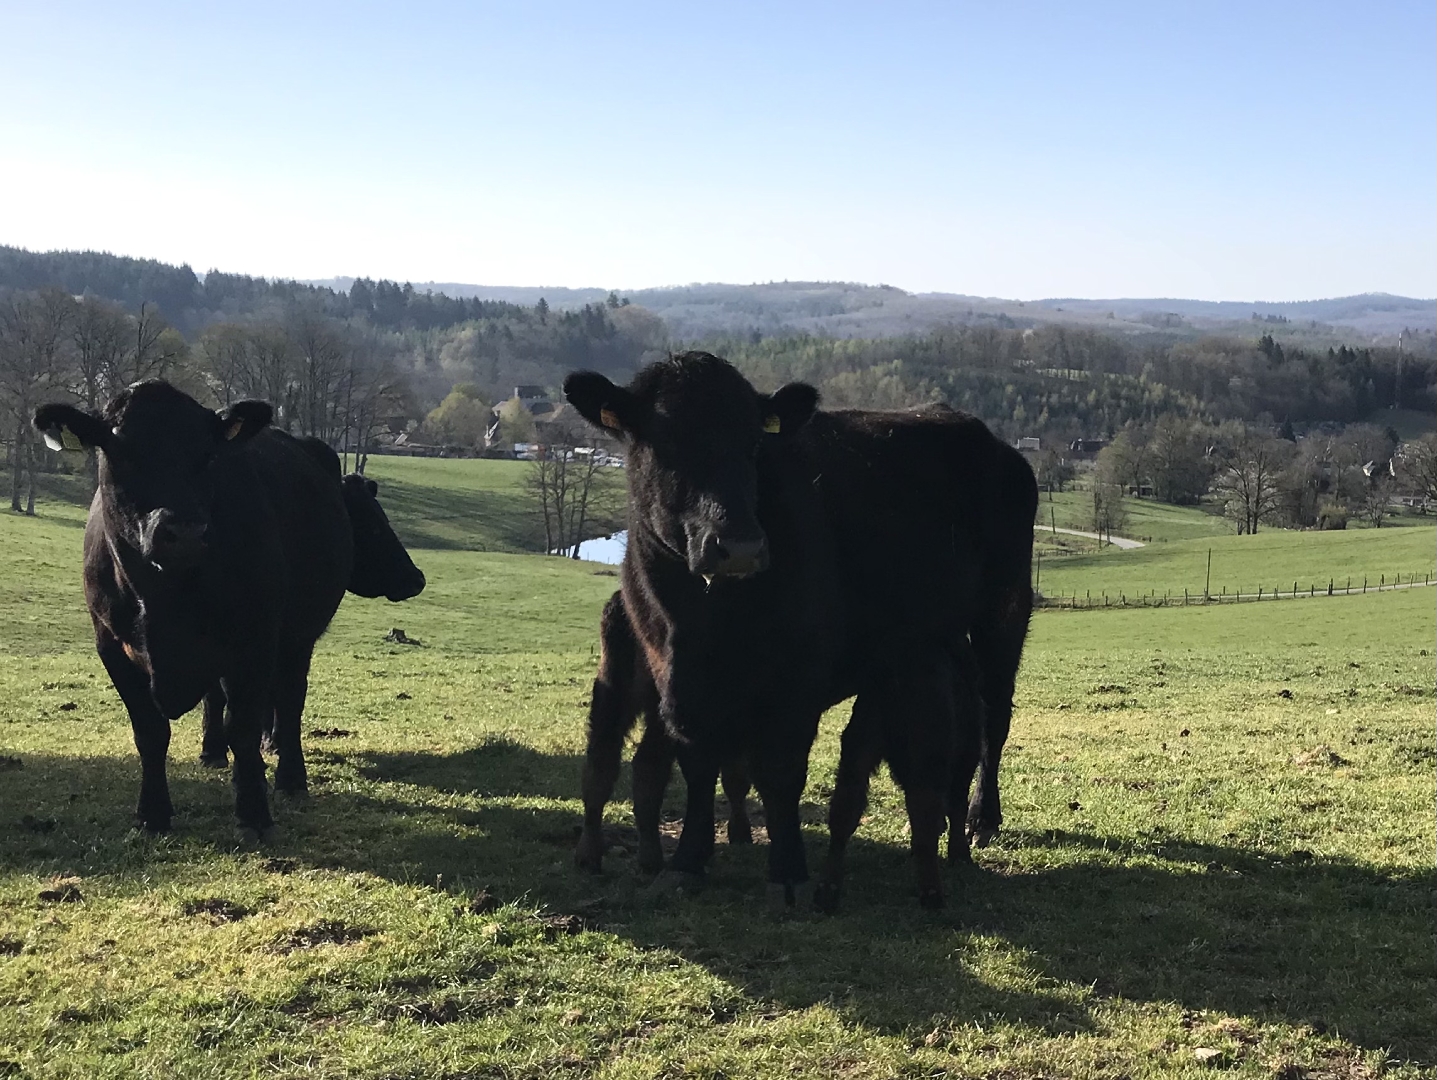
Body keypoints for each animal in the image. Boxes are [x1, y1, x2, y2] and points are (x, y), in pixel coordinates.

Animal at [34, 384, 353, 838]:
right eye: (120, 450)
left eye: (208, 454)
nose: (183, 531)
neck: (165, 599)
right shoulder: (111, 644)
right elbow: (150, 731)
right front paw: (152, 813)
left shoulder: (255, 639)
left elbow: (244, 727)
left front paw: (253, 815)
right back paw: (213, 754)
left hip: (298, 636)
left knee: (290, 697)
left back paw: (290, 779)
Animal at [563, 354, 1034, 913]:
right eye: (664, 441)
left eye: (753, 444)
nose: (741, 546)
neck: (702, 622)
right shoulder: (675, 681)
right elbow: (698, 766)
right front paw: (687, 862)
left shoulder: (797, 682)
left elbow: (781, 773)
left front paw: (787, 872)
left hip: (1005, 609)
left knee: (994, 718)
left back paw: (983, 818)